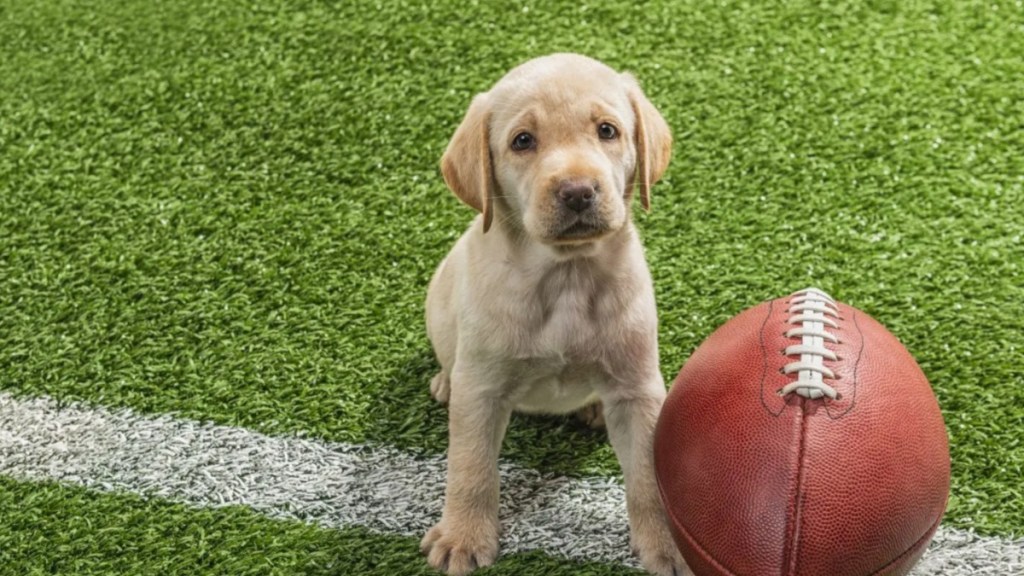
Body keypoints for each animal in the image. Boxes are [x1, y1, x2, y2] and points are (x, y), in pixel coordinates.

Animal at [419, 53, 692, 573]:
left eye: (607, 131)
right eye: (523, 141)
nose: (578, 191)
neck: (567, 277)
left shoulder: (638, 390)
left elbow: (649, 476)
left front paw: (669, 546)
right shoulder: (481, 389)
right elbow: (471, 466)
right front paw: (463, 537)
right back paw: (444, 381)